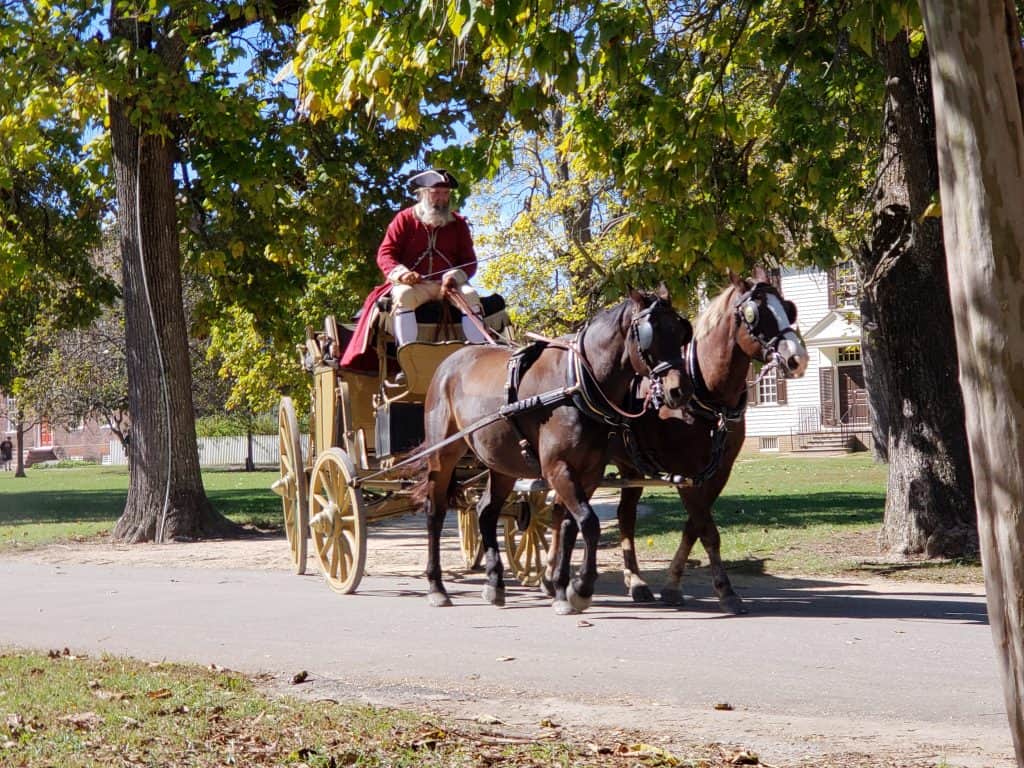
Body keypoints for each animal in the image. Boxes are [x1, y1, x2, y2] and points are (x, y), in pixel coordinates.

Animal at [417, 290, 696, 618]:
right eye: (651, 335)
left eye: (681, 331)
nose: (680, 391)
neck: (576, 384)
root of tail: (448, 362)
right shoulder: (558, 468)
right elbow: (588, 522)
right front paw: (582, 588)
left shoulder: (589, 474)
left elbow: (568, 525)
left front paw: (562, 589)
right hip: (443, 454)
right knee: (435, 512)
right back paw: (436, 586)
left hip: (502, 463)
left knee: (485, 510)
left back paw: (494, 583)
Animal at [606, 270, 806, 614]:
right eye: (753, 314)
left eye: (787, 308)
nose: (798, 358)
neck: (703, 391)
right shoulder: (685, 473)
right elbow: (707, 531)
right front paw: (726, 591)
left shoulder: (717, 472)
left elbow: (694, 527)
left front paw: (672, 585)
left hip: (630, 467)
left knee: (625, 516)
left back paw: (636, 581)